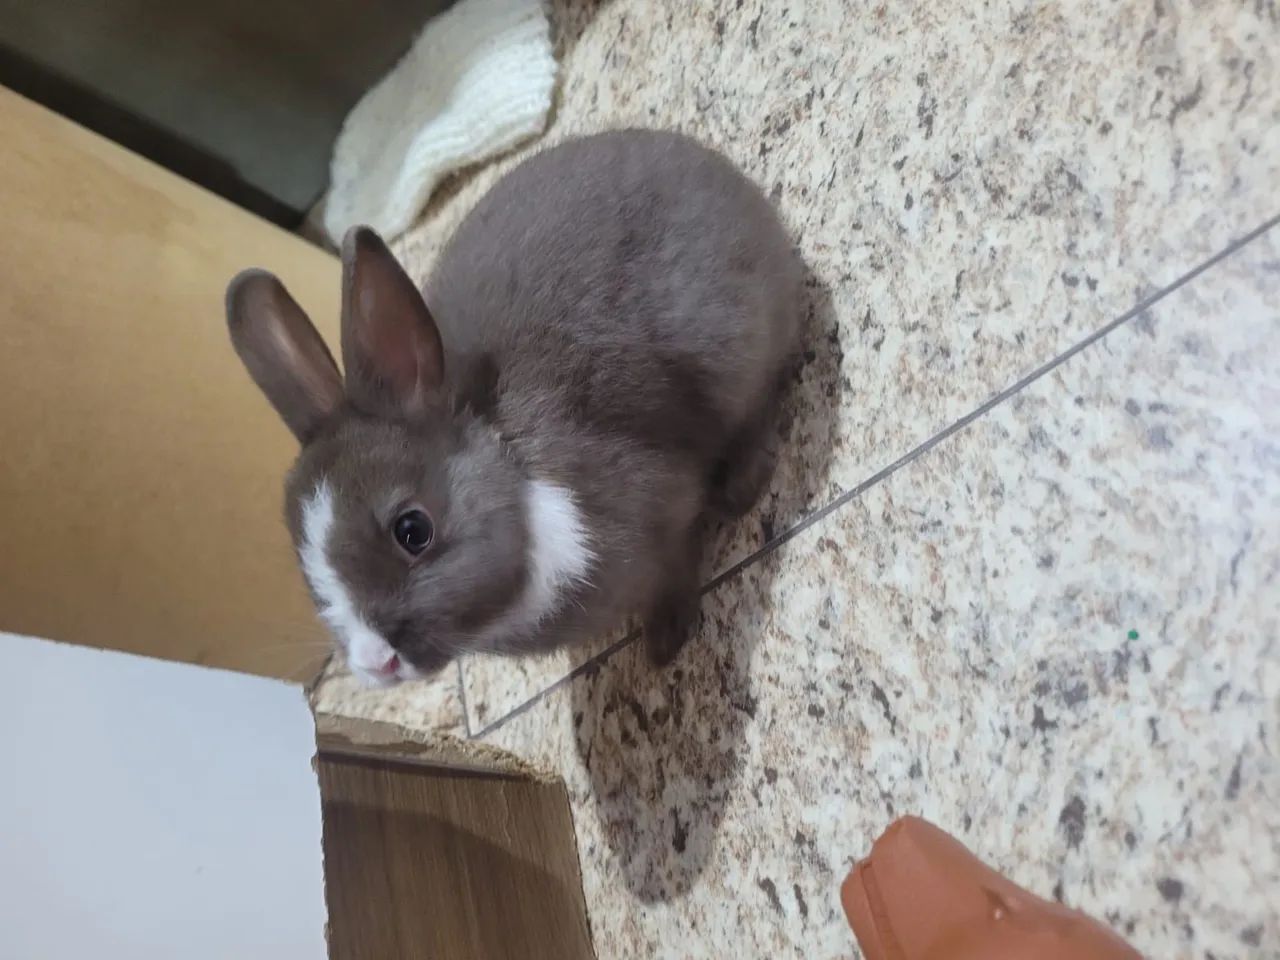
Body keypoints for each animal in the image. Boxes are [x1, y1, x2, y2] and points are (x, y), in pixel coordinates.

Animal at [226, 130, 803, 686]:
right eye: (305, 566)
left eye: (413, 531)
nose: (375, 662)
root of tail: (719, 171)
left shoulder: (664, 511)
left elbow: (676, 566)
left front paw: (665, 644)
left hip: (739, 346)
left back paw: (741, 490)